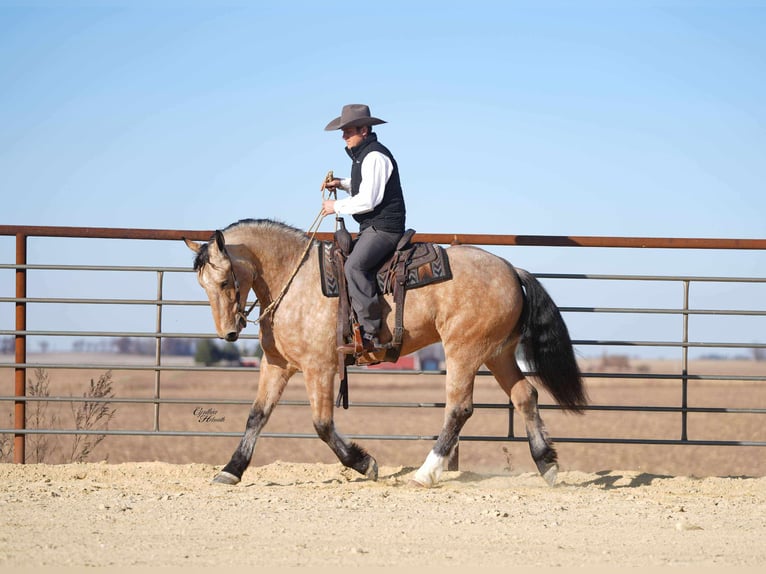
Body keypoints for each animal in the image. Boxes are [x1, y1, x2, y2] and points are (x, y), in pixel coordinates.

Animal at [184, 218, 587, 487]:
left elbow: (322, 424)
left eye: (224, 280)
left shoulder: (319, 368)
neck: (293, 280)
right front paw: (231, 470)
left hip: (464, 351)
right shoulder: (277, 365)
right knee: (525, 395)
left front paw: (365, 463)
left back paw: (426, 472)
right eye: (202, 284)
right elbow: (257, 416)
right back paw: (547, 465)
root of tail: (511, 269)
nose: (229, 332)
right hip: (497, 354)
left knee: (459, 409)